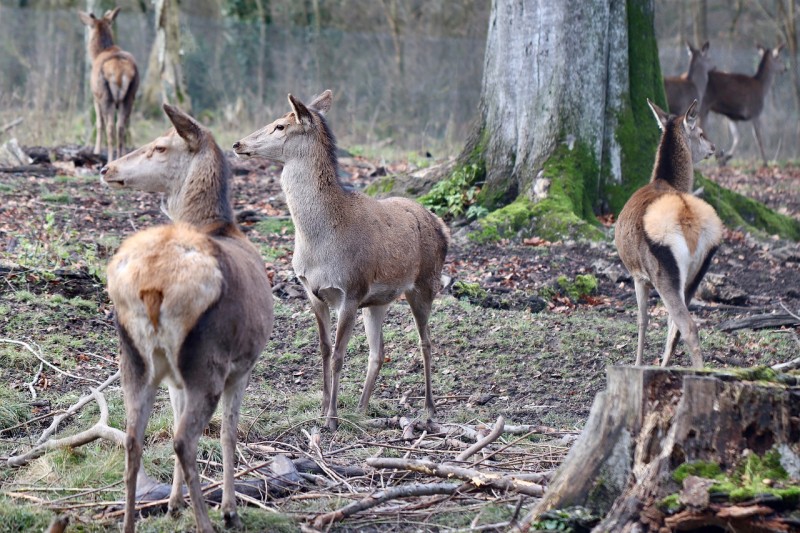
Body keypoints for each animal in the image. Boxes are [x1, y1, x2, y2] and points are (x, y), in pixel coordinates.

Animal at [78, 8, 139, 161]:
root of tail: (119, 73)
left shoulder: (95, 97)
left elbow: (99, 123)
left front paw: (96, 151)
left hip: (106, 96)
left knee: (110, 127)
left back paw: (111, 158)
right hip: (130, 95)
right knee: (121, 126)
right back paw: (122, 156)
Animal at [101, 104, 276, 532]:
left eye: (160, 146)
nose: (108, 168)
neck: (216, 223)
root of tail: (152, 285)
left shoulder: (172, 378)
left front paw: (173, 504)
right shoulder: (243, 365)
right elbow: (230, 433)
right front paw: (229, 508)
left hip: (133, 358)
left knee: (133, 439)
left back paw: (131, 521)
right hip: (206, 360)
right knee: (185, 440)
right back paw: (208, 521)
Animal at [231, 90, 450, 432]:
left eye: (280, 125)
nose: (238, 144)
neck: (319, 244)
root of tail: (442, 226)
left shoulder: (351, 289)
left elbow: (338, 355)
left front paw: (332, 418)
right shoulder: (312, 290)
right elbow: (323, 350)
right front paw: (322, 409)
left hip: (425, 284)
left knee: (425, 342)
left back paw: (429, 409)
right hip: (378, 301)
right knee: (379, 351)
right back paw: (361, 408)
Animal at [616, 98, 720, 366]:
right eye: (701, 133)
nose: (713, 147)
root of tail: (686, 214)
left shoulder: (638, 274)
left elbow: (642, 320)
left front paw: (638, 363)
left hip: (664, 270)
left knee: (688, 326)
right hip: (697, 271)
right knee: (677, 327)